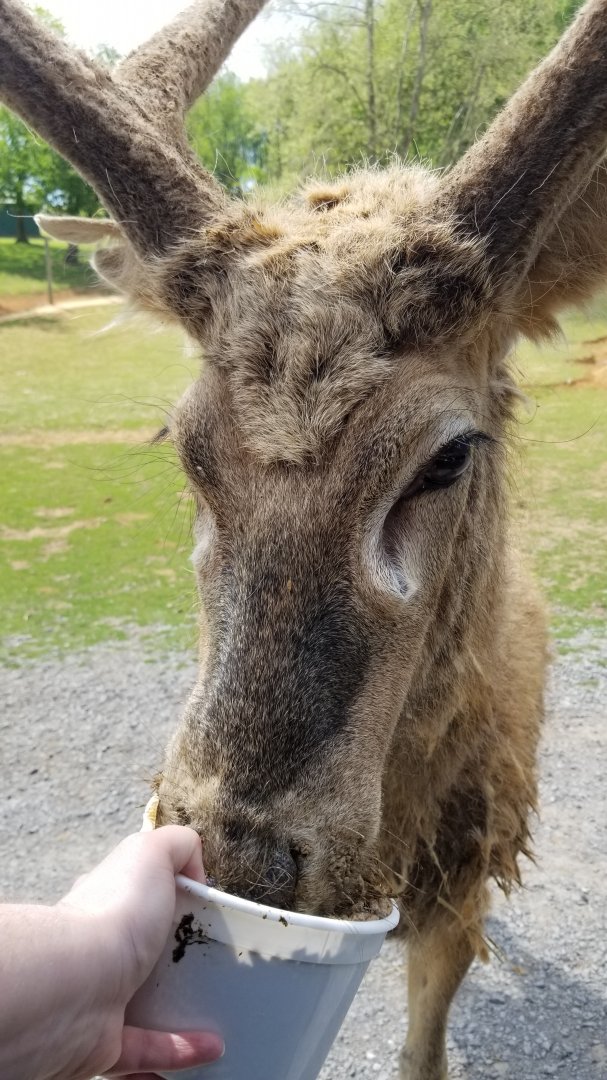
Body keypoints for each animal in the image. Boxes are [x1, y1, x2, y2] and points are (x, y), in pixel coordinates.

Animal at [2, 0, 607, 1075]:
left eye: (449, 456)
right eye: (181, 443)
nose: (242, 854)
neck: (400, 836)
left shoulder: (464, 877)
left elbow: (425, 1047)